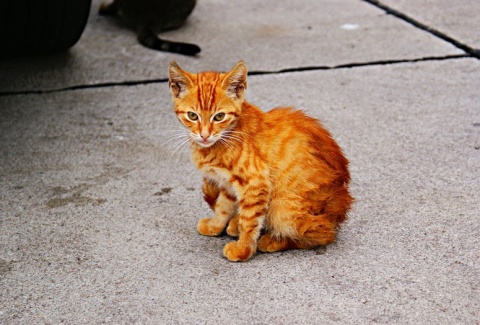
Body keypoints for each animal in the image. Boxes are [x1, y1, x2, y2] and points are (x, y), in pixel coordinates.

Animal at [168, 60, 352, 260]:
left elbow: (249, 220)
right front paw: (215, 225)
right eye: (192, 116)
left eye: (219, 116)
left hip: (284, 208)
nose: (204, 135)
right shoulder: (227, 183)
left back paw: (272, 240)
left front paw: (243, 249)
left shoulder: (256, 181)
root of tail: (339, 209)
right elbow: (223, 205)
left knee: (323, 233)